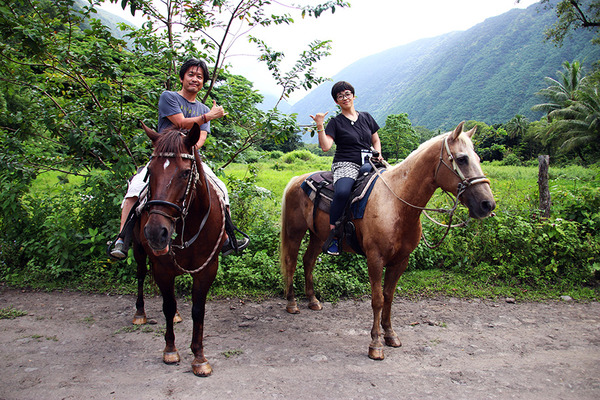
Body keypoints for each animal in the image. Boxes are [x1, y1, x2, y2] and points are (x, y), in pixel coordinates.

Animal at [131, 121, 225, 376]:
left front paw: (199, 358)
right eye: (150, 172)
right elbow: (168, 304)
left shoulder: (207, 269)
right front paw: (170, 350)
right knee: (140, 275)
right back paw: (140, 314)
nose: (155, 232)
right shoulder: (162, 268)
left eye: (185, 173)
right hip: (138, 251)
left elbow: (198, 310)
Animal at [278, 121, 494, 360]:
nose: (487, 204)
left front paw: (390, 334)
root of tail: (297, 180)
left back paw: (313, 300)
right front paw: (375, 344)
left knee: (308, 261)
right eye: (462, 159)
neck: (396, 203)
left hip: (319, 235)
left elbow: (389, 297)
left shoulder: (400, 261)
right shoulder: (375, 259)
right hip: (295, 232)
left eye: (479, 159)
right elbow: (378, 299)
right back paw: (292, 303)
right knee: (291, 262)